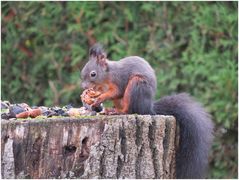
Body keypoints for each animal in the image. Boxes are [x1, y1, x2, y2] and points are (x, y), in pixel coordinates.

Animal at [80, 43, 215, 179]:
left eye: (93, 74)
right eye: (82, 72)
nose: (84, 86)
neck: (106, 76)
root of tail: (149, 108)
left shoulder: (119, 79)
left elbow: (116, 92)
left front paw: (99, 98)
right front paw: (88, 97)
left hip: (136, 85)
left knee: (130, 110)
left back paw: (117, 112)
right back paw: (111, 109)